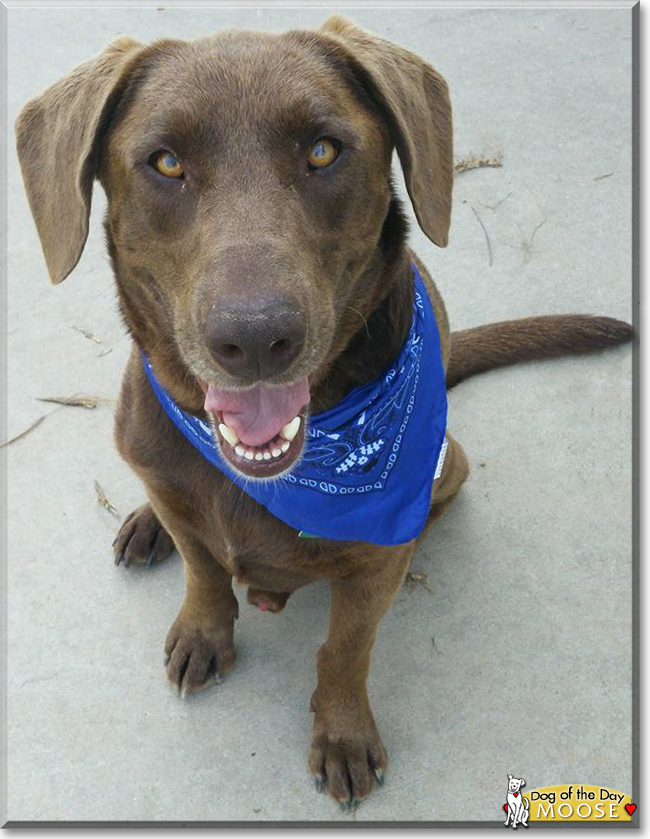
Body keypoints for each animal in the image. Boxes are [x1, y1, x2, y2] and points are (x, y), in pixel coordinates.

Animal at [17, 16, 632, 812]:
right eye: (166, 162)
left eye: (322, 151)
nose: (254, 338)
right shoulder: (181, 494)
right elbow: (203, 570)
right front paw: (204, 628)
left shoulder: (373, 570)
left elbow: (345, 648)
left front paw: (341, 733)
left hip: (450, 465)